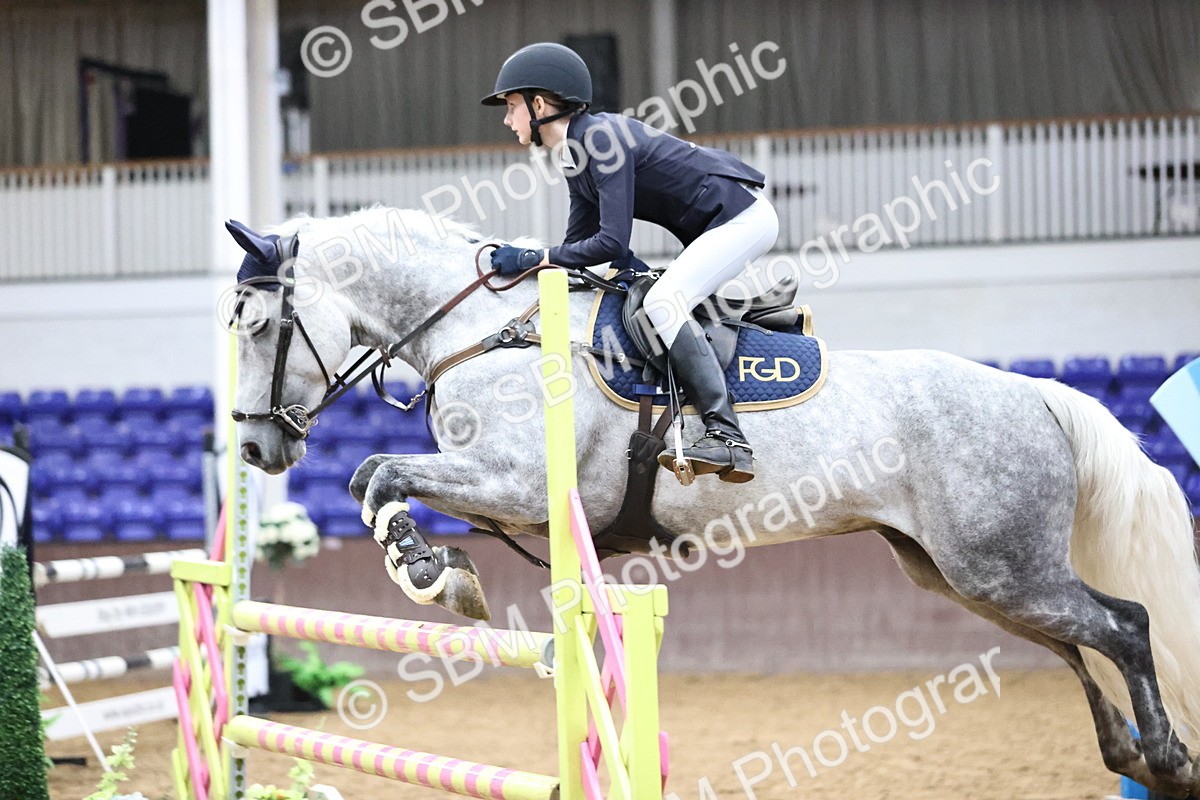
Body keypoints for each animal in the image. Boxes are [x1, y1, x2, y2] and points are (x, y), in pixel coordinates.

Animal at [226, 206, 1200, 796]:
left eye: (263, 327)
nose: (252, 448)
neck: (487, 331)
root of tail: (1036, 392)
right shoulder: (507, 498)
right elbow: (374, 481)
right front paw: (440, 569)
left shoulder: (517, 479)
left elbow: (385, 473)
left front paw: (432, 572)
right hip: (965, 573)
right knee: (1074, 641)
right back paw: (1126, 751)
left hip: (1000, 565)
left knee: (1123, 625)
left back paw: (1164, 758)